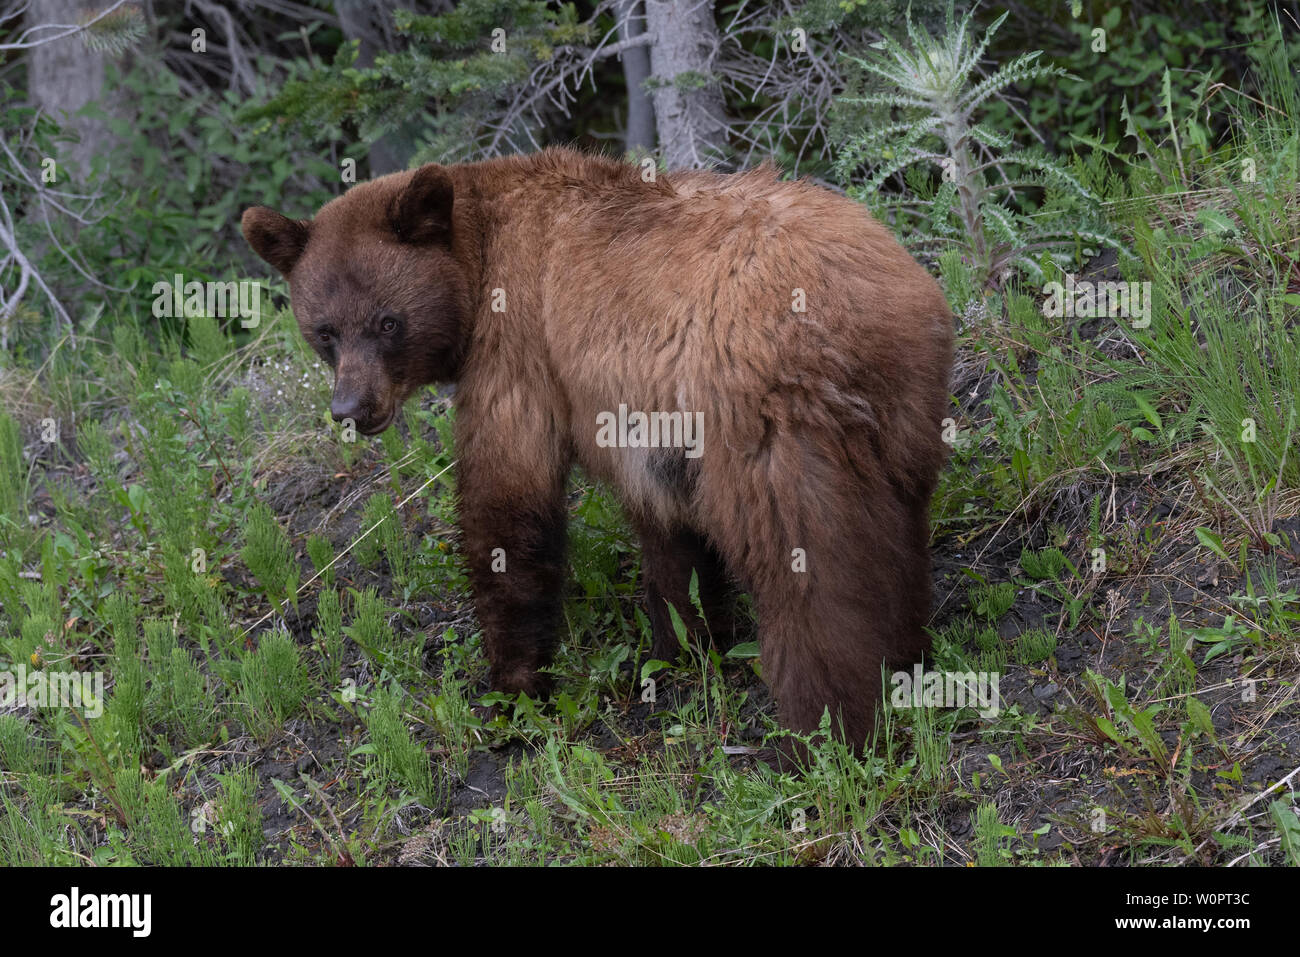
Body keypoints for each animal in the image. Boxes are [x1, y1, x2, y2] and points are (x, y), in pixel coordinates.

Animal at [242, 147, 953, 754]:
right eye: (325, 331)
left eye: (388, 322)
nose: (351, 409)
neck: (479, 253)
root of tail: (862, 312)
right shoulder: (646, 419)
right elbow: (667, 529)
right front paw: (683, 642)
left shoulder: (519, 342)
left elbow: (509, 502)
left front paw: (515, 690)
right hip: (908, 411)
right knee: (897, 529)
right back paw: (907, 653)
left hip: (768, 418)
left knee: (805, 564)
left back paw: (825, 730)